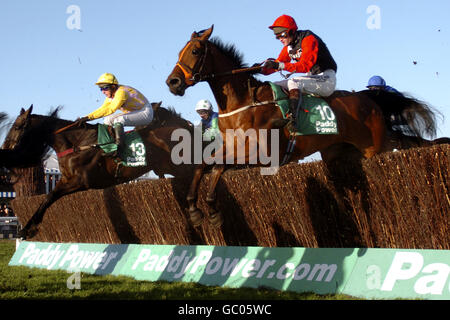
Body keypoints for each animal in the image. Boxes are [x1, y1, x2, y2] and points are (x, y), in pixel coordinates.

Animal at [2, 102, 197, 238]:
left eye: (17, 127)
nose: (5, 147)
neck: (78, 143)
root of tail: (184, 126)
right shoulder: (66, 179)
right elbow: (47, 198)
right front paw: (27, 229)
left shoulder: (81, 181)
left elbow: (50, 197)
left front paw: (28, 229)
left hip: (178, 165)